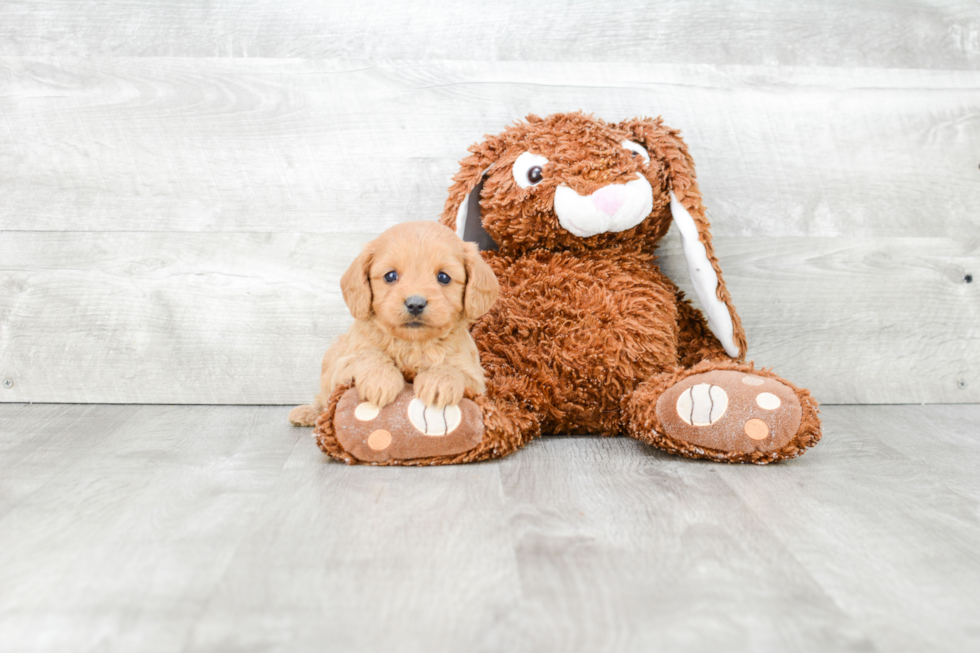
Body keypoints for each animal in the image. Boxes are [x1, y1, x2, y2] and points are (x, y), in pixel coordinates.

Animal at [284, 220, 498, 428]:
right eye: (390, 276)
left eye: (443, 277)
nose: (415, 304)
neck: (412, 344)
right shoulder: (343, 363)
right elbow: (368, 355)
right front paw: (380, 380)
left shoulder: (475, 376)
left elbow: (454, 370)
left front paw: (439, 381)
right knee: (323, 399)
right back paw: (307, 413)